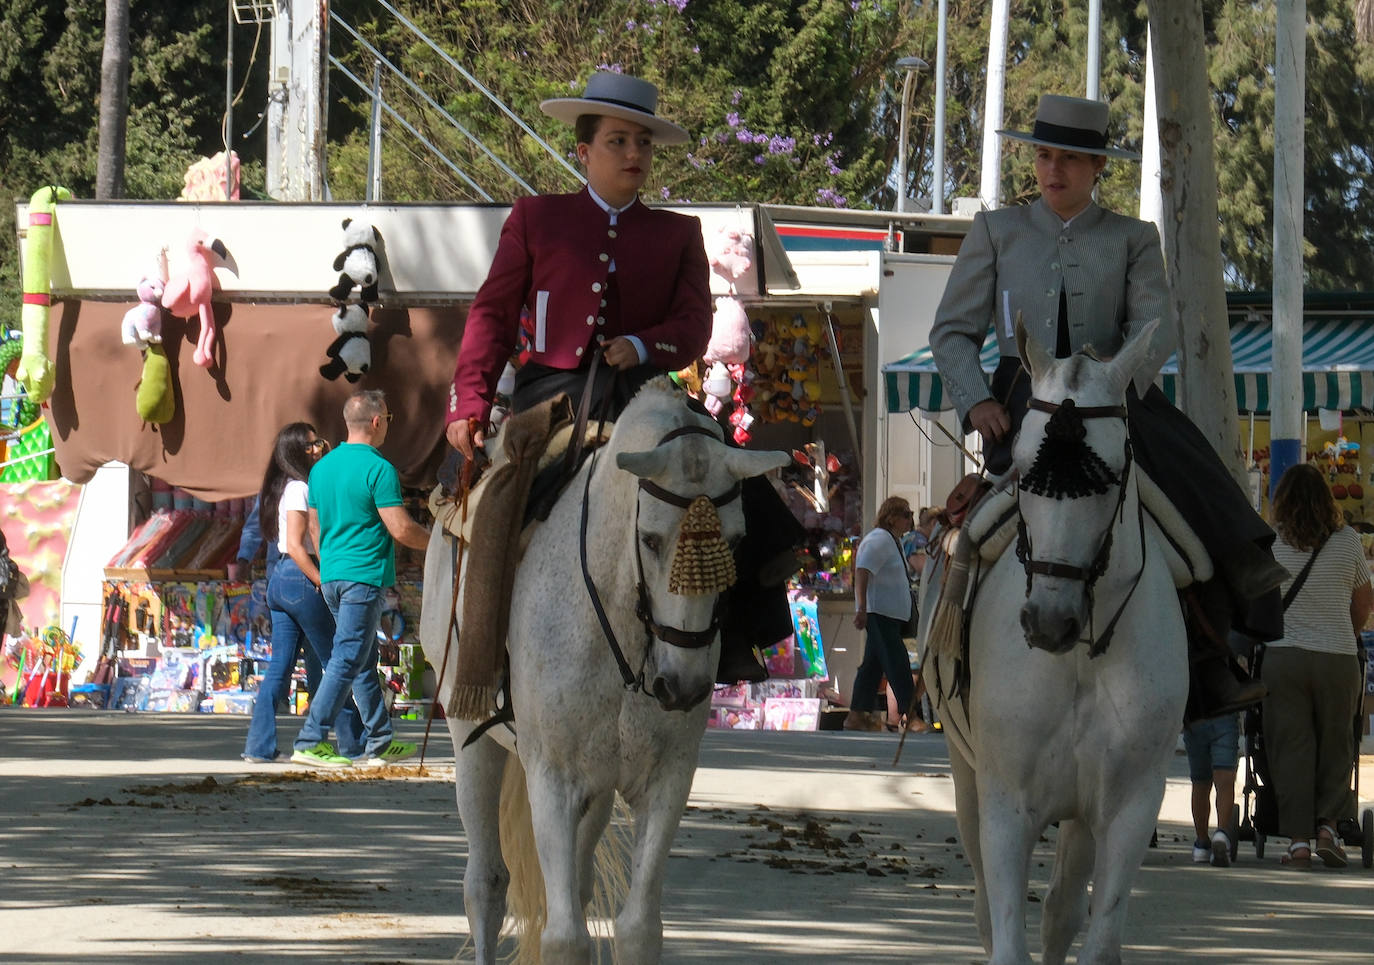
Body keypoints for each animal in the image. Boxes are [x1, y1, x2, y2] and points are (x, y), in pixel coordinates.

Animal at [417, 379, 785, 965]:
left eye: (737, 541)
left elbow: (638, 929)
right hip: (472, 737)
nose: (682, 686)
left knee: (578, 883)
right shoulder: (553, 779)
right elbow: (565, 937)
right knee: (486, 885)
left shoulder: (665, 780)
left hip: (598, 786)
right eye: (651, 539)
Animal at [923, 324, 1192, 965]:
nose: (1049, 622)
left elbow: (1096, 938)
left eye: (1112, 472)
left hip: (1081, 814)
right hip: (967, 777)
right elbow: (1005, 938)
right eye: (1023, 470)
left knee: (1061, 910)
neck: (1077, 662)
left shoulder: (1128, 809)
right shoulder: (1006, 807)